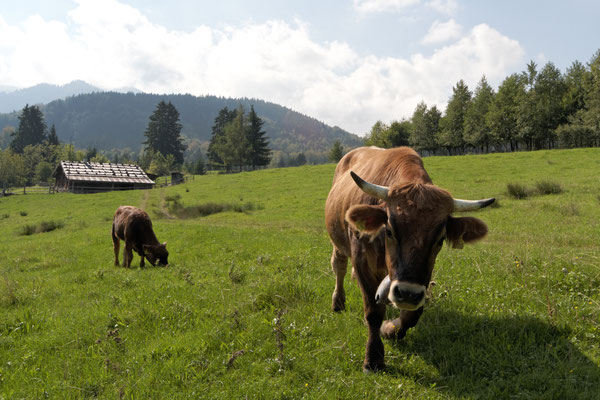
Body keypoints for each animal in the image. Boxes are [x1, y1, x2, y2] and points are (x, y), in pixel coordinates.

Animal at [326, 147, 494, 372]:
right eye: (389, 230)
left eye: (440, 239)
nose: (407, 293)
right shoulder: (362, 262)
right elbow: (373, 312)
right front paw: (373, 358)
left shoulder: (420, 280)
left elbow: (412, 315)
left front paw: (390, 328)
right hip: (338, 244)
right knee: (339, 267)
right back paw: (338, 302)